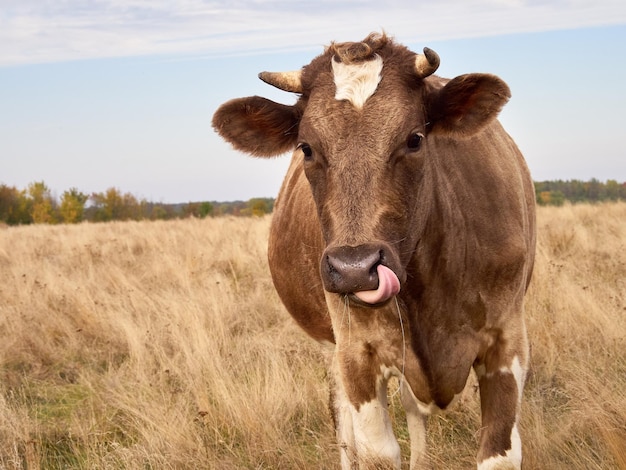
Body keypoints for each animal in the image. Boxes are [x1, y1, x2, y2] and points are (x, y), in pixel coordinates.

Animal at [212, 34, 532, 470]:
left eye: (415, 139)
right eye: (306, 148)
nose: (354, 268)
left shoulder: (507, 339)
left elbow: (499, 452)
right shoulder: (356, 352)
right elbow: (377, 450)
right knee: (345, 424)